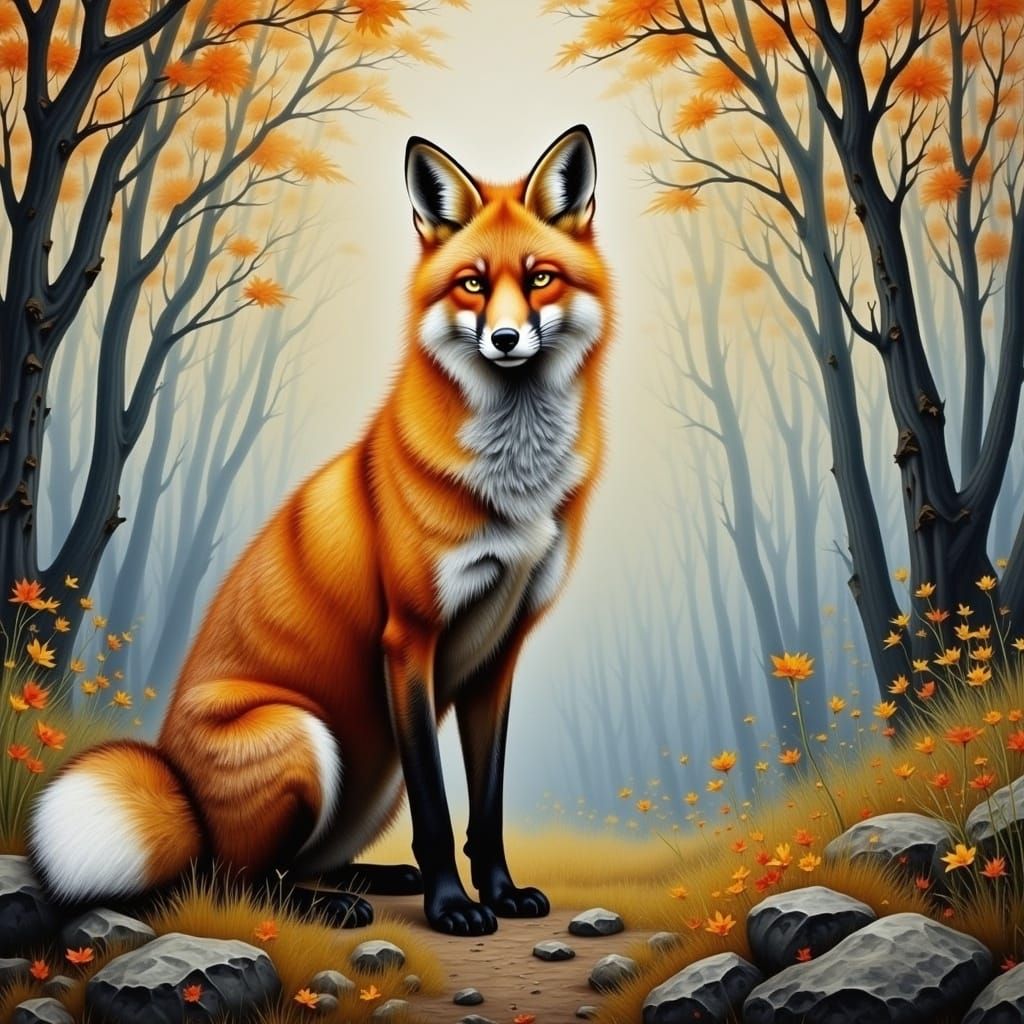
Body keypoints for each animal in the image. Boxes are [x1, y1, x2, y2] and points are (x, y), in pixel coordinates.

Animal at [27, 125, 611, 937]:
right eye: (470, 284)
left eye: (540, 279)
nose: (502, 338)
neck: (514, 489)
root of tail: (183, 798)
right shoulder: (409, 638)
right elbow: (438, 814)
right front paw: (451, 908)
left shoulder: (501, 650)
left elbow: (486, 807)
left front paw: (498, 892)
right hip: (305, 736)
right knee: (236, 882)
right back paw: (330, 906)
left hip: (371, 777)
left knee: (304, 860)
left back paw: (372, 878)